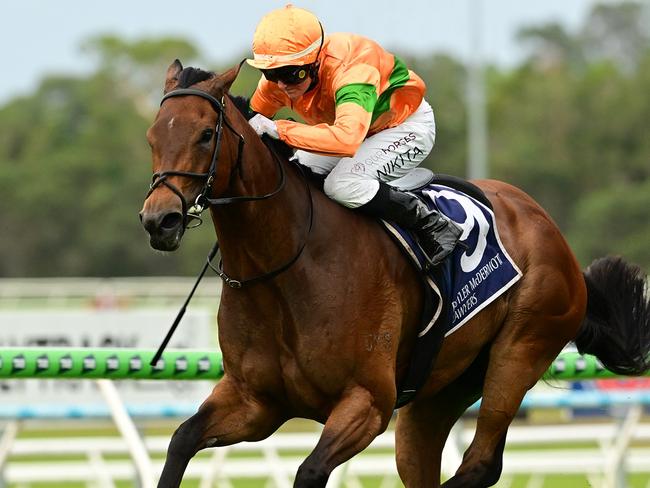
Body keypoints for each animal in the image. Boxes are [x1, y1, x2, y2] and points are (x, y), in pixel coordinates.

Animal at [138, 59, 648, 486]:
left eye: (206, 134)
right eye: (152, 137)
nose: (159, 220)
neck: (284, 267)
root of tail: (549, 228)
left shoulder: (367, 402)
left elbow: (309, 470)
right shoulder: (254, 402)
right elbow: (181, 440)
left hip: (520, 351)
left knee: (481, 462)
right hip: (441, 390)